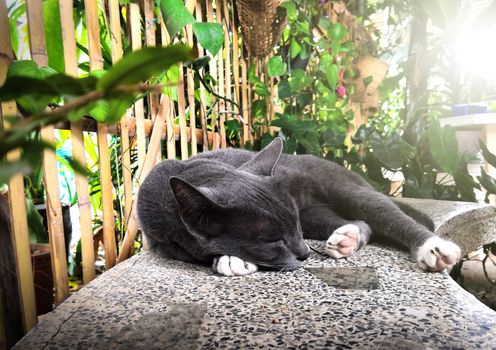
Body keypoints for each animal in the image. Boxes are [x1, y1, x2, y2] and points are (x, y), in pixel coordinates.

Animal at [137, 137, 462, 276]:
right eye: (273, 240)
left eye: (293, 228)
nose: (305, 253)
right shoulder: (160, 241)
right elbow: (186, 251)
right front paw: (230, 258)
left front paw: (231, 259)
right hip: (314, 214)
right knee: (362, 223)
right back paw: (346, 239)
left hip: (342, 188)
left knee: (388, 215)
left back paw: (434, 249)